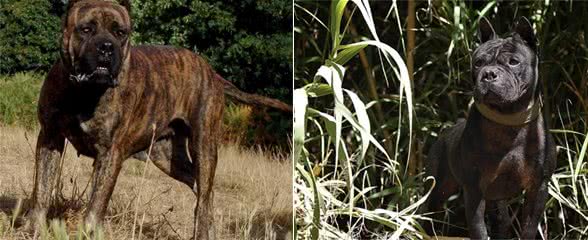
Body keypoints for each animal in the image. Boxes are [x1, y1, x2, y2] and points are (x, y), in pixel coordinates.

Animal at [27, 0, 290, 238]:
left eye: (120, 32)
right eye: (86, 29)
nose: (107, 47)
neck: (83, 92)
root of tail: (212, 72)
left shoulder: (109, 154)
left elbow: (95, 206)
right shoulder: (50, 138)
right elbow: (41, 190)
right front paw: (36, 230)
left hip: (204, 146)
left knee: (203, 196)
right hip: (166, 156)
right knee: (203, 190)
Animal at [428, 17, 556, 240]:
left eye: (513, 62)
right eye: (478, 63)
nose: (488, 74)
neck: (508, 119)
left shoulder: (538, 187)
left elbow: (529, 227)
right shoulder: (474, 190)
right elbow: (479, 229)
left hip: (496, 200)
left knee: (501, 222)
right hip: (439, 188)